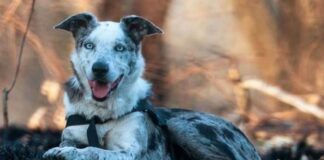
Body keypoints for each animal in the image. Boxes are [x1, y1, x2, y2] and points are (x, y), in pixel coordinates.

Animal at [43, 12, 260, 160]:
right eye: (89, 45)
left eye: (120, 47)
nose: (99, 69)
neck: (101, 114)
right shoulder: (72, 135)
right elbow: (77, 144)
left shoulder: (128, 152)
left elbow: (94, 150)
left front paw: (68, 152)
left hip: (181, 125)